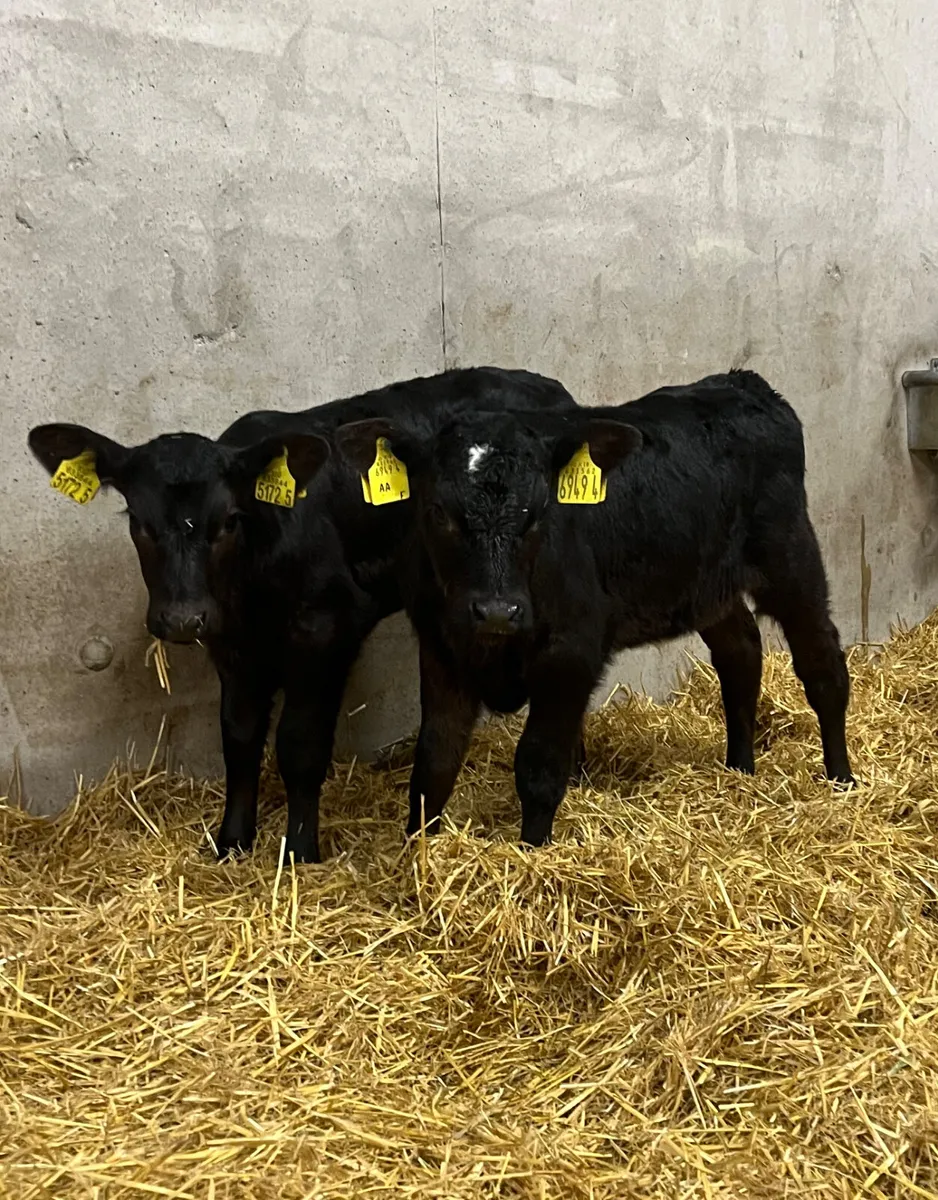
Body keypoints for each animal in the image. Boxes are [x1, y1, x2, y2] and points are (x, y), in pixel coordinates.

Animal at [28, 367, 577, 862]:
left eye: (227, 521)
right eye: (139, 523)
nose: (182, 619)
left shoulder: (327, 631)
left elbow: (299, 746)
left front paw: (299, 851)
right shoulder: (232, 646)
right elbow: (239, 739)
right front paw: (231, 842)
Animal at [336, 370, 854, 848]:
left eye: (537, 513)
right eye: (438, 512)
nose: (498, 611)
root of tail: (741, 383)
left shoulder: (570, 652)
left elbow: (539, 765)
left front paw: (533, 852)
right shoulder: (442, 648)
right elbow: (434, 763)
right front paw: (417, 852)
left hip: (790, 557)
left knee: (822, 662)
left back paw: (841, 778)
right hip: (707, 586)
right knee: (740, 652)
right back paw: (740, 769)